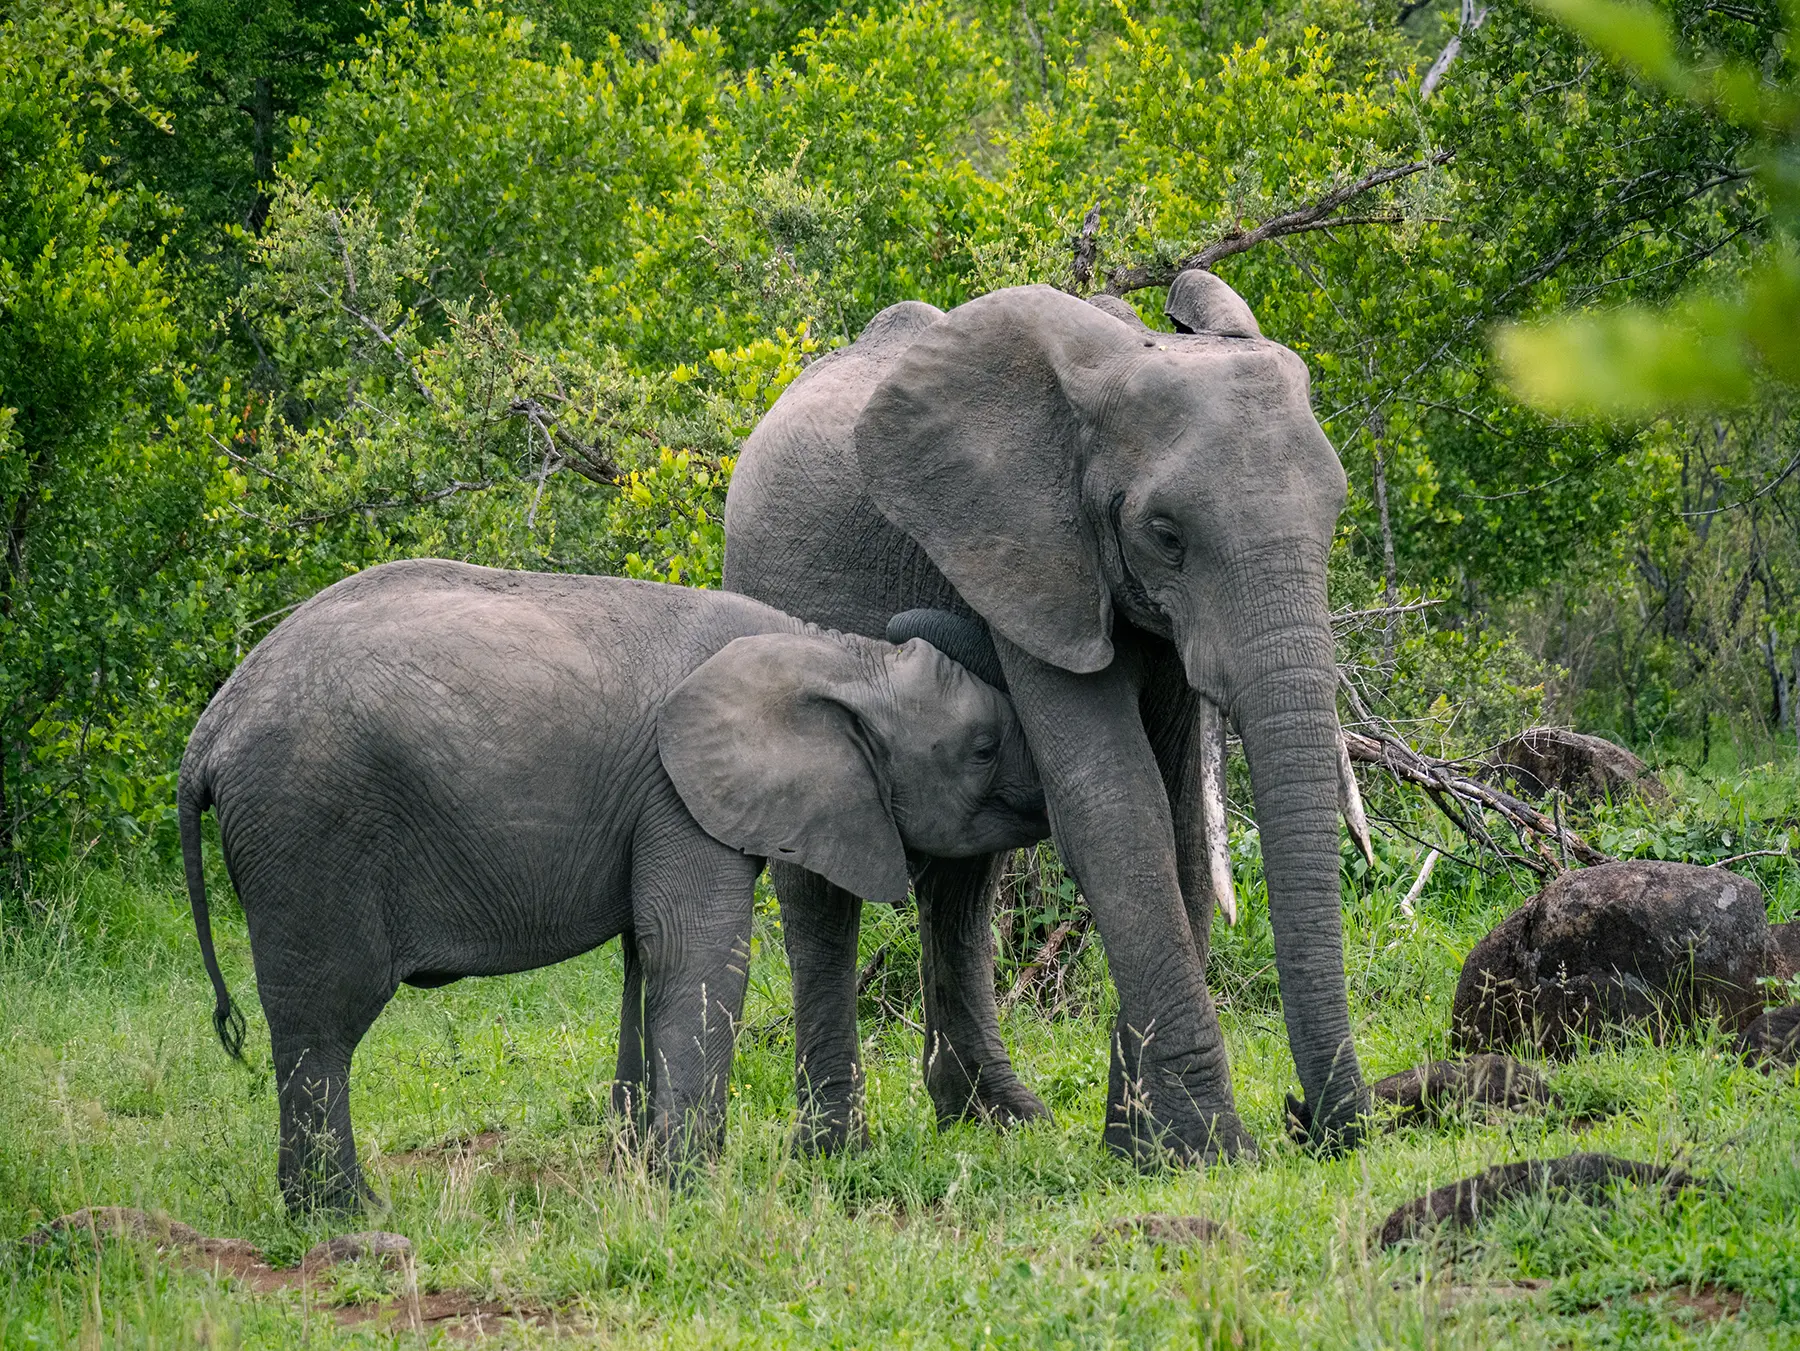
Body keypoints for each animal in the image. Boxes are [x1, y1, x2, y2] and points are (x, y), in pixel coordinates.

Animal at [178, 558, 1047, 1211]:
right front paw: (691, 1193)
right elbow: (697, 953)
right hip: (308, 829)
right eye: (981, 748)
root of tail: (207, 734)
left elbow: (643, 958)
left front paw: (636, 1175)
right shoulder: (677, 791)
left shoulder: (652, 805)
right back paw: (348, 1214)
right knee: (323, 1022)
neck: (834, 654)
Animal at [723, 272, 1376, 1162]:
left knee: (962, 882)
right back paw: (836, 1149)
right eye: (1166, 534)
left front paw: (1141, 1148)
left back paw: (995, 1118)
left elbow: (1178, 816)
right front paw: (1205, 1149)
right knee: (822, 890)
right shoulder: (1025, 560)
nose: (1305, 1118)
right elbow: (1114, 801)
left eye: (1335, 516)